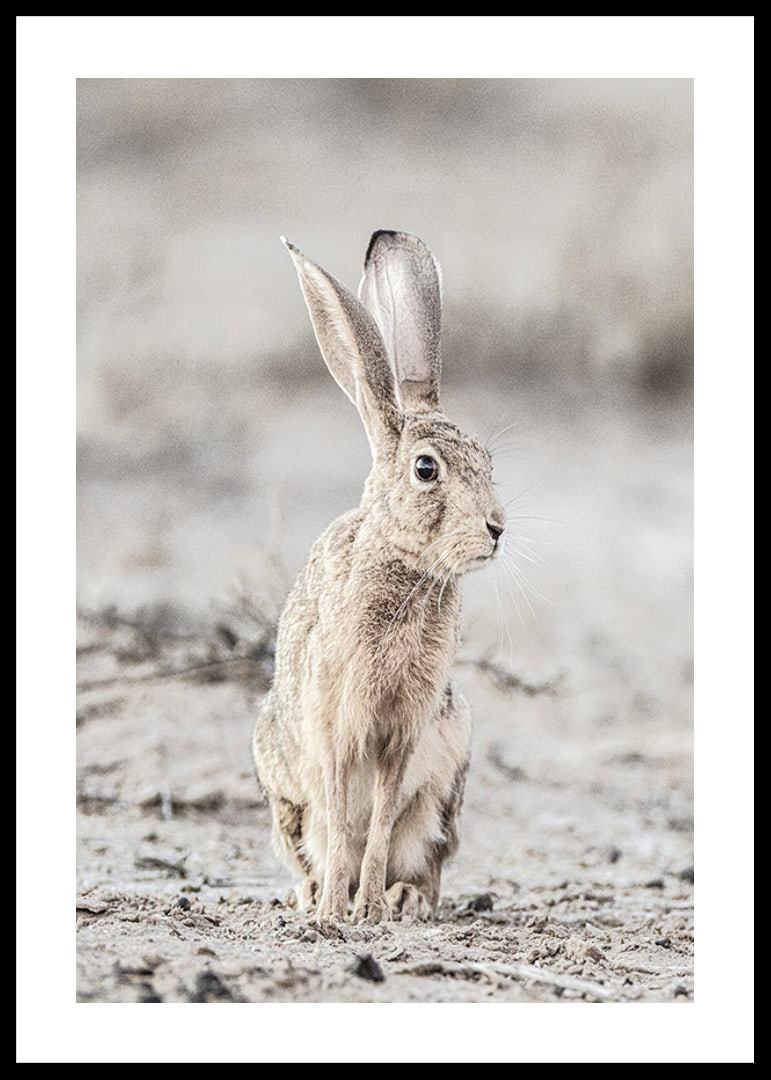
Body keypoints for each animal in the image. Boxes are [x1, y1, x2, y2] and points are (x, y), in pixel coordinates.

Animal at [252, 229, 506, 923]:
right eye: (426, 470)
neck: (404, 567)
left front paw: (368, 908)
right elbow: (345, 818)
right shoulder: (338, 724)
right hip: (285, 792)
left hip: (448, 780)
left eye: (487, 462)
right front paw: (336, 911)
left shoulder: (405, 732)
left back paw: (404, 897)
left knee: (424, 857)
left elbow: (383, 818)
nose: (497, 529)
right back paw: (312, 894)